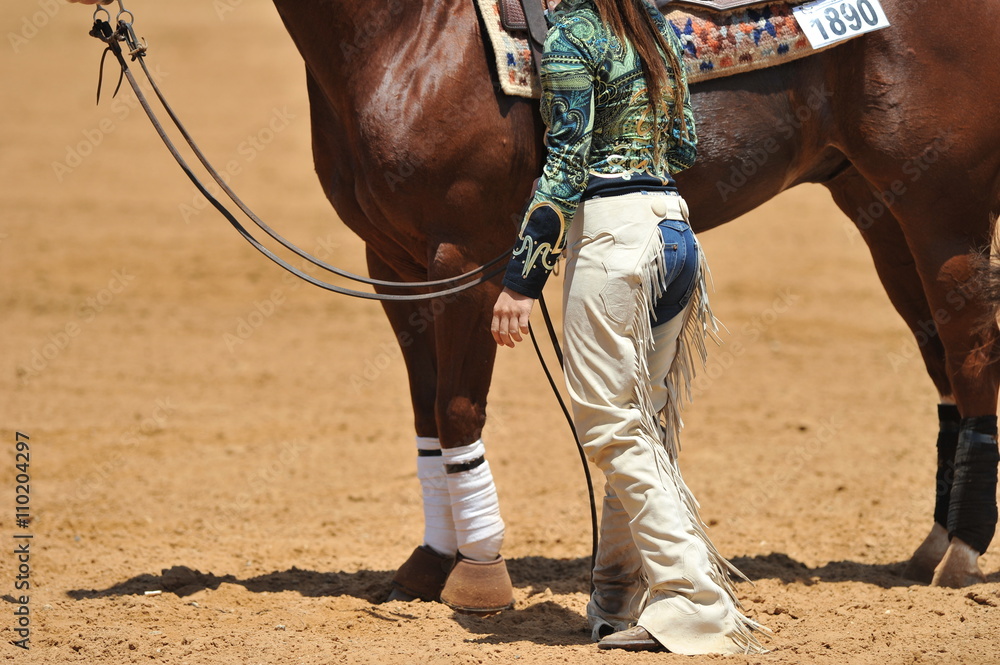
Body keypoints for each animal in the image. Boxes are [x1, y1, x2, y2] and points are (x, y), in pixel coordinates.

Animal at [269, 0, 1000, 601]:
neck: (414, 34)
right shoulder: (395, 266)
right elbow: (426, 410)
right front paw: (428, 564)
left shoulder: (463, 258)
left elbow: (457, 408)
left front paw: (479, 574)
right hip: (879, 208)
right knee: (940, 359)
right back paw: (933, 546)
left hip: (944, 212)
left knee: (971, 354)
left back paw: (961, 555)